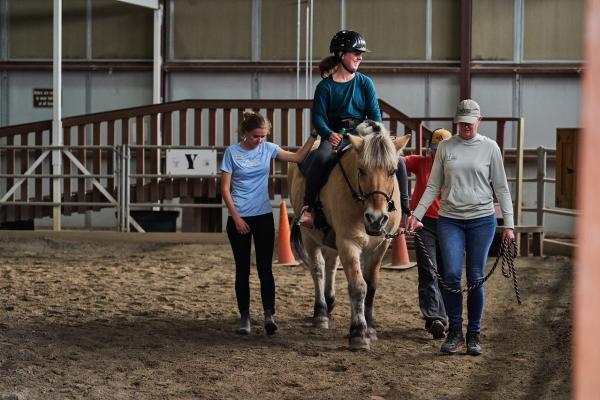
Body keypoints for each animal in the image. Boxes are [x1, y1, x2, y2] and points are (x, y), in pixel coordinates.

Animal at [288, 122, 410, 350]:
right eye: (361, 170)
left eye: (392, 172)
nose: (376, 218)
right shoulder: (348, 243)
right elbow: (358, 286)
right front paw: (358, 333)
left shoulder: (379, 246)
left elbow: (371, 286)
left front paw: (370, 328)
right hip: (310, 236)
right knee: (318, 269)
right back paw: (320, 312)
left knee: (330, 264)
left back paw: (329, 301)